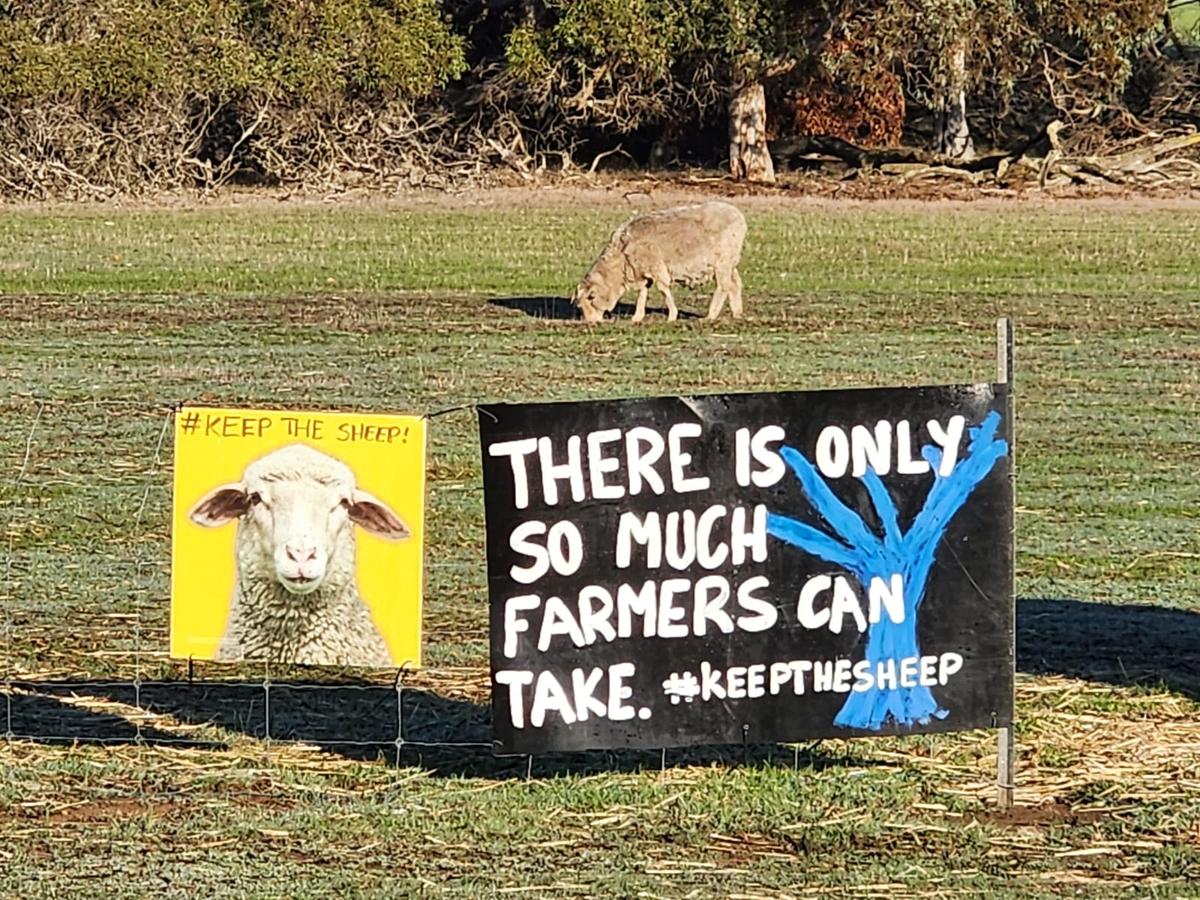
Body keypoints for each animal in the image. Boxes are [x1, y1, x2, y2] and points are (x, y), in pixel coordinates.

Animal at [573, 200, 747, 324]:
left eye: (588, 301)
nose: (590, 322)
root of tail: (738, 215)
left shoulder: (655, 267)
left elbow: (663, 289)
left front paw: (672, 316)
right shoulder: (641, 271)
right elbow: (643, 293)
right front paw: (637, 317)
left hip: (723, 261)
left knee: (723, 286)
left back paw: (710, 316)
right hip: (731, 262)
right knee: (735, 283)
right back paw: (737, 313)